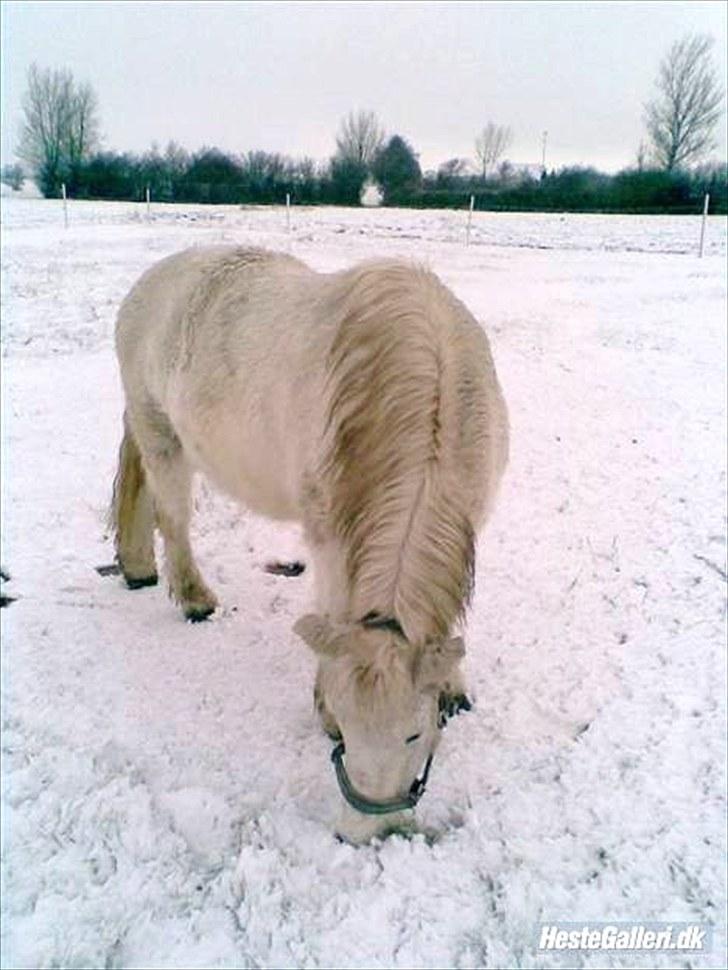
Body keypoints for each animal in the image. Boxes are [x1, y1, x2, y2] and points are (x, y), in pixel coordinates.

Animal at [114, 246, 510, 844]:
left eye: (414, 734)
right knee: (173, 518)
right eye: (344, 729)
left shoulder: (472, 517)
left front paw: (454, 685)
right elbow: (335, 612)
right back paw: (194, 599)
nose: (369, 833)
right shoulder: (331, 540)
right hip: (162, 434)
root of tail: (152, 278)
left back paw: (137, 567)